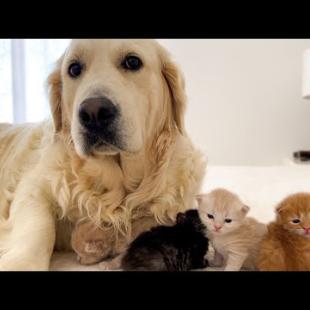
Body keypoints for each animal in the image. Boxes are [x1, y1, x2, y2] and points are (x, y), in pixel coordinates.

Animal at [0, 39, 206, 272]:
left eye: (133, 62)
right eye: (74, 69)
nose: (93, 112)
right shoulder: (33, 187)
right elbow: (39, 227)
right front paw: (21, 262)